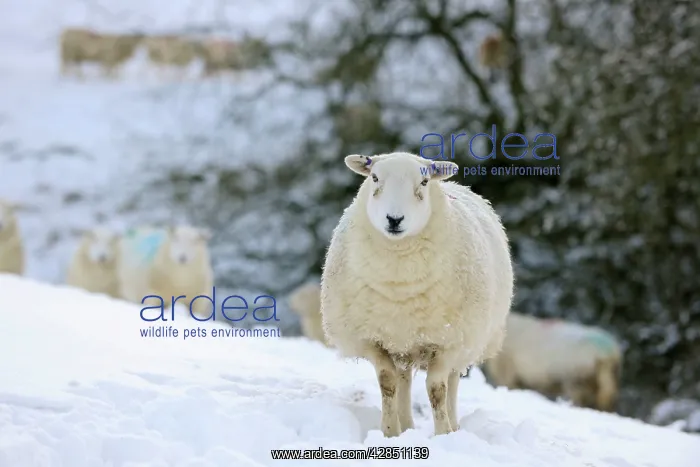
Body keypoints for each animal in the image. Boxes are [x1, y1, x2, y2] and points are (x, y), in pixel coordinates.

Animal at [320, 152, 514, 437]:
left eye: (424, 182)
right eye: (374, 177)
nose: (394, 219)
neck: (399, 282)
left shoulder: (447, 342)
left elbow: (437, 390)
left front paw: (443, 434)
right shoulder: (371, 338)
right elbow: (387, 382)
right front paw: (390, 432)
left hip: (466, 339)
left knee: (452, 382)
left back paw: (454, 427)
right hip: (403, 339)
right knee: (403, 379)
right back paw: (407, 425)